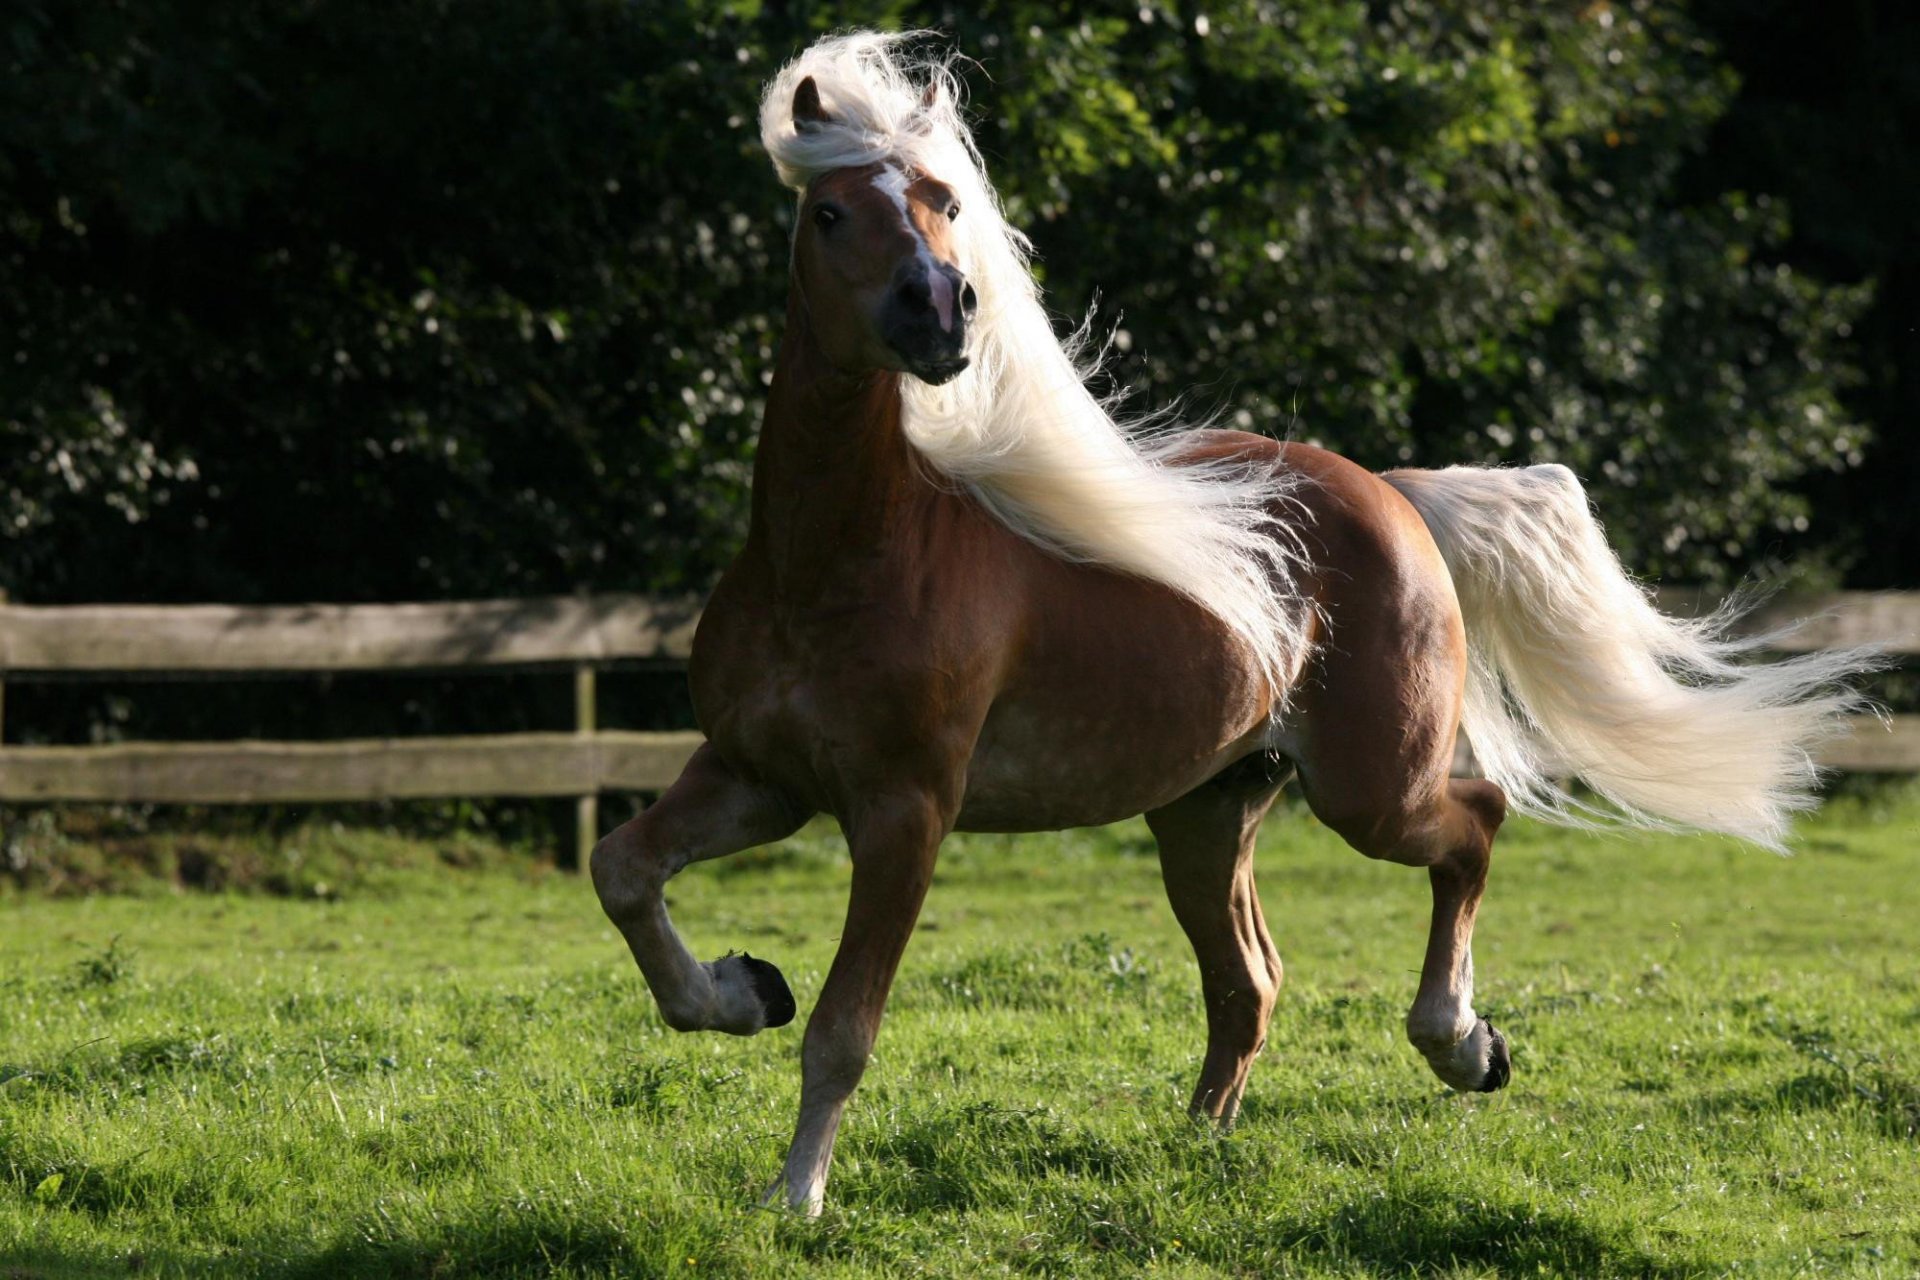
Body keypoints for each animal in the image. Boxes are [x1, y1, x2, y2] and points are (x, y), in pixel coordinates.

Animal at [589, 33, 1872, 1215]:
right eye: (829, 211)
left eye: (946, 202)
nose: (941, 310)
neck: (841, 559)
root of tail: (1392, 491)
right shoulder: (760, 774)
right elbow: (623, 871)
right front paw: (743, 986)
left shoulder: (906, 811)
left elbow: (845, 1027)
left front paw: (796, 1195)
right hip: (1207, 810)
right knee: (1249, 980)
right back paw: (1195, 1148)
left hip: (1369, 791)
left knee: (1474, 822)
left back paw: (1461, 1041)